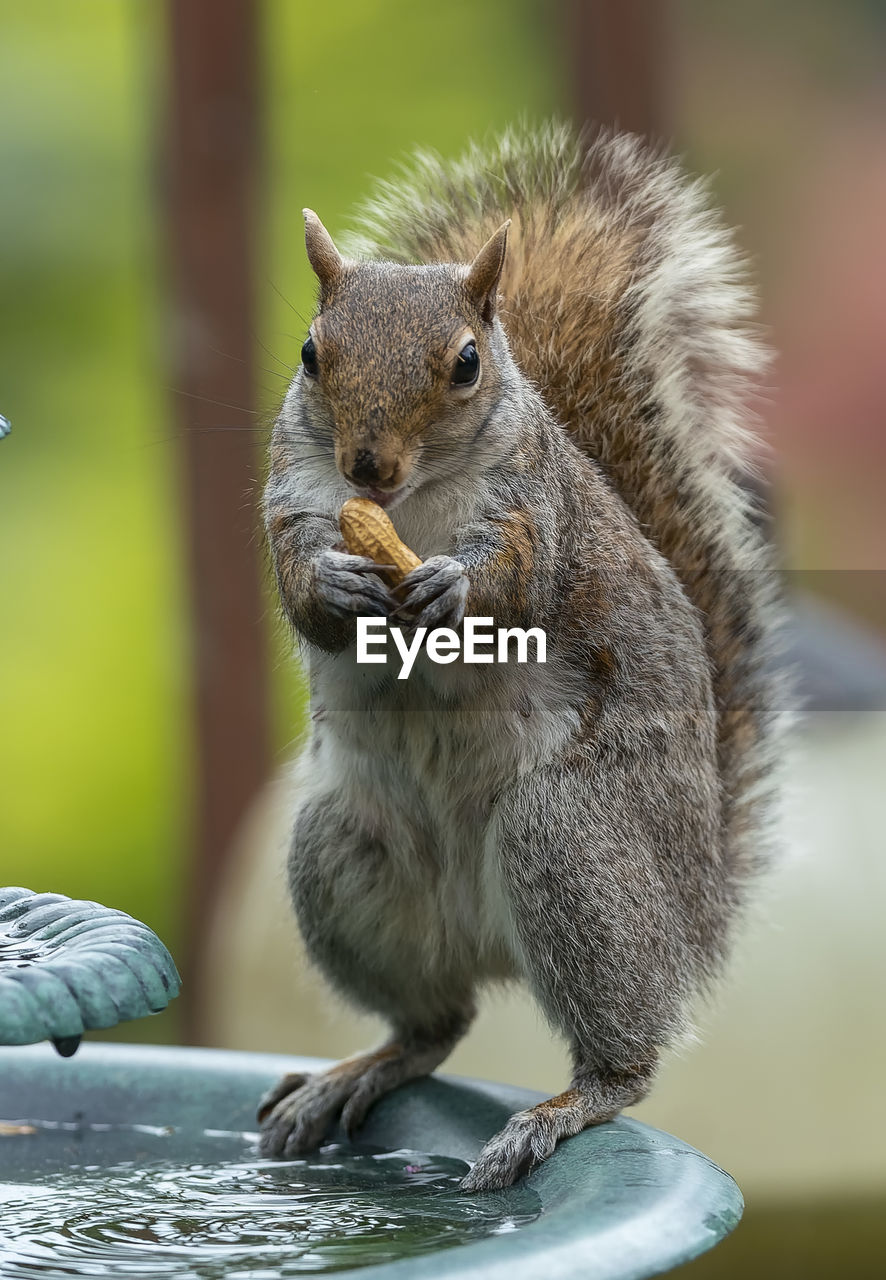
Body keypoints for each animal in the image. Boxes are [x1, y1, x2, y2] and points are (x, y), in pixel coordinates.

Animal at [256, 122, 783, 1187]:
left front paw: (452, 592)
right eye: (310, 354)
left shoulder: (535, 512)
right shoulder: (292, 498)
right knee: (433, 1023)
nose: (366, 466)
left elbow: (516, 587)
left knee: (622, 1057)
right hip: (345, 854)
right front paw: (336, 587)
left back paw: (565, 1107)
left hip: (570, 840)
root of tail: (700, 909)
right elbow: (301, 587)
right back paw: (354, 1074)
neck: (410, 507)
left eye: (466, 363)